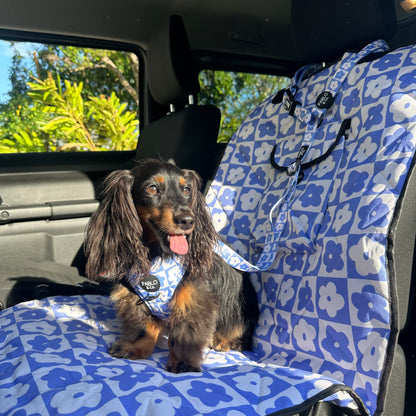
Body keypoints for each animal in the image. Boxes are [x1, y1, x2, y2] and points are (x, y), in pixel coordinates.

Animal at [85, 158, 258, 372]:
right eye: (152, 188)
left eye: (186, 189)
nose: (187, 220)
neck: (158, 255)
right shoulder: (135, 296)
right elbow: (143, 328)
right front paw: (133, 347)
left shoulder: (194, 299)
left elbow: (185, 337)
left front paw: (183, 363)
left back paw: (225, 340)